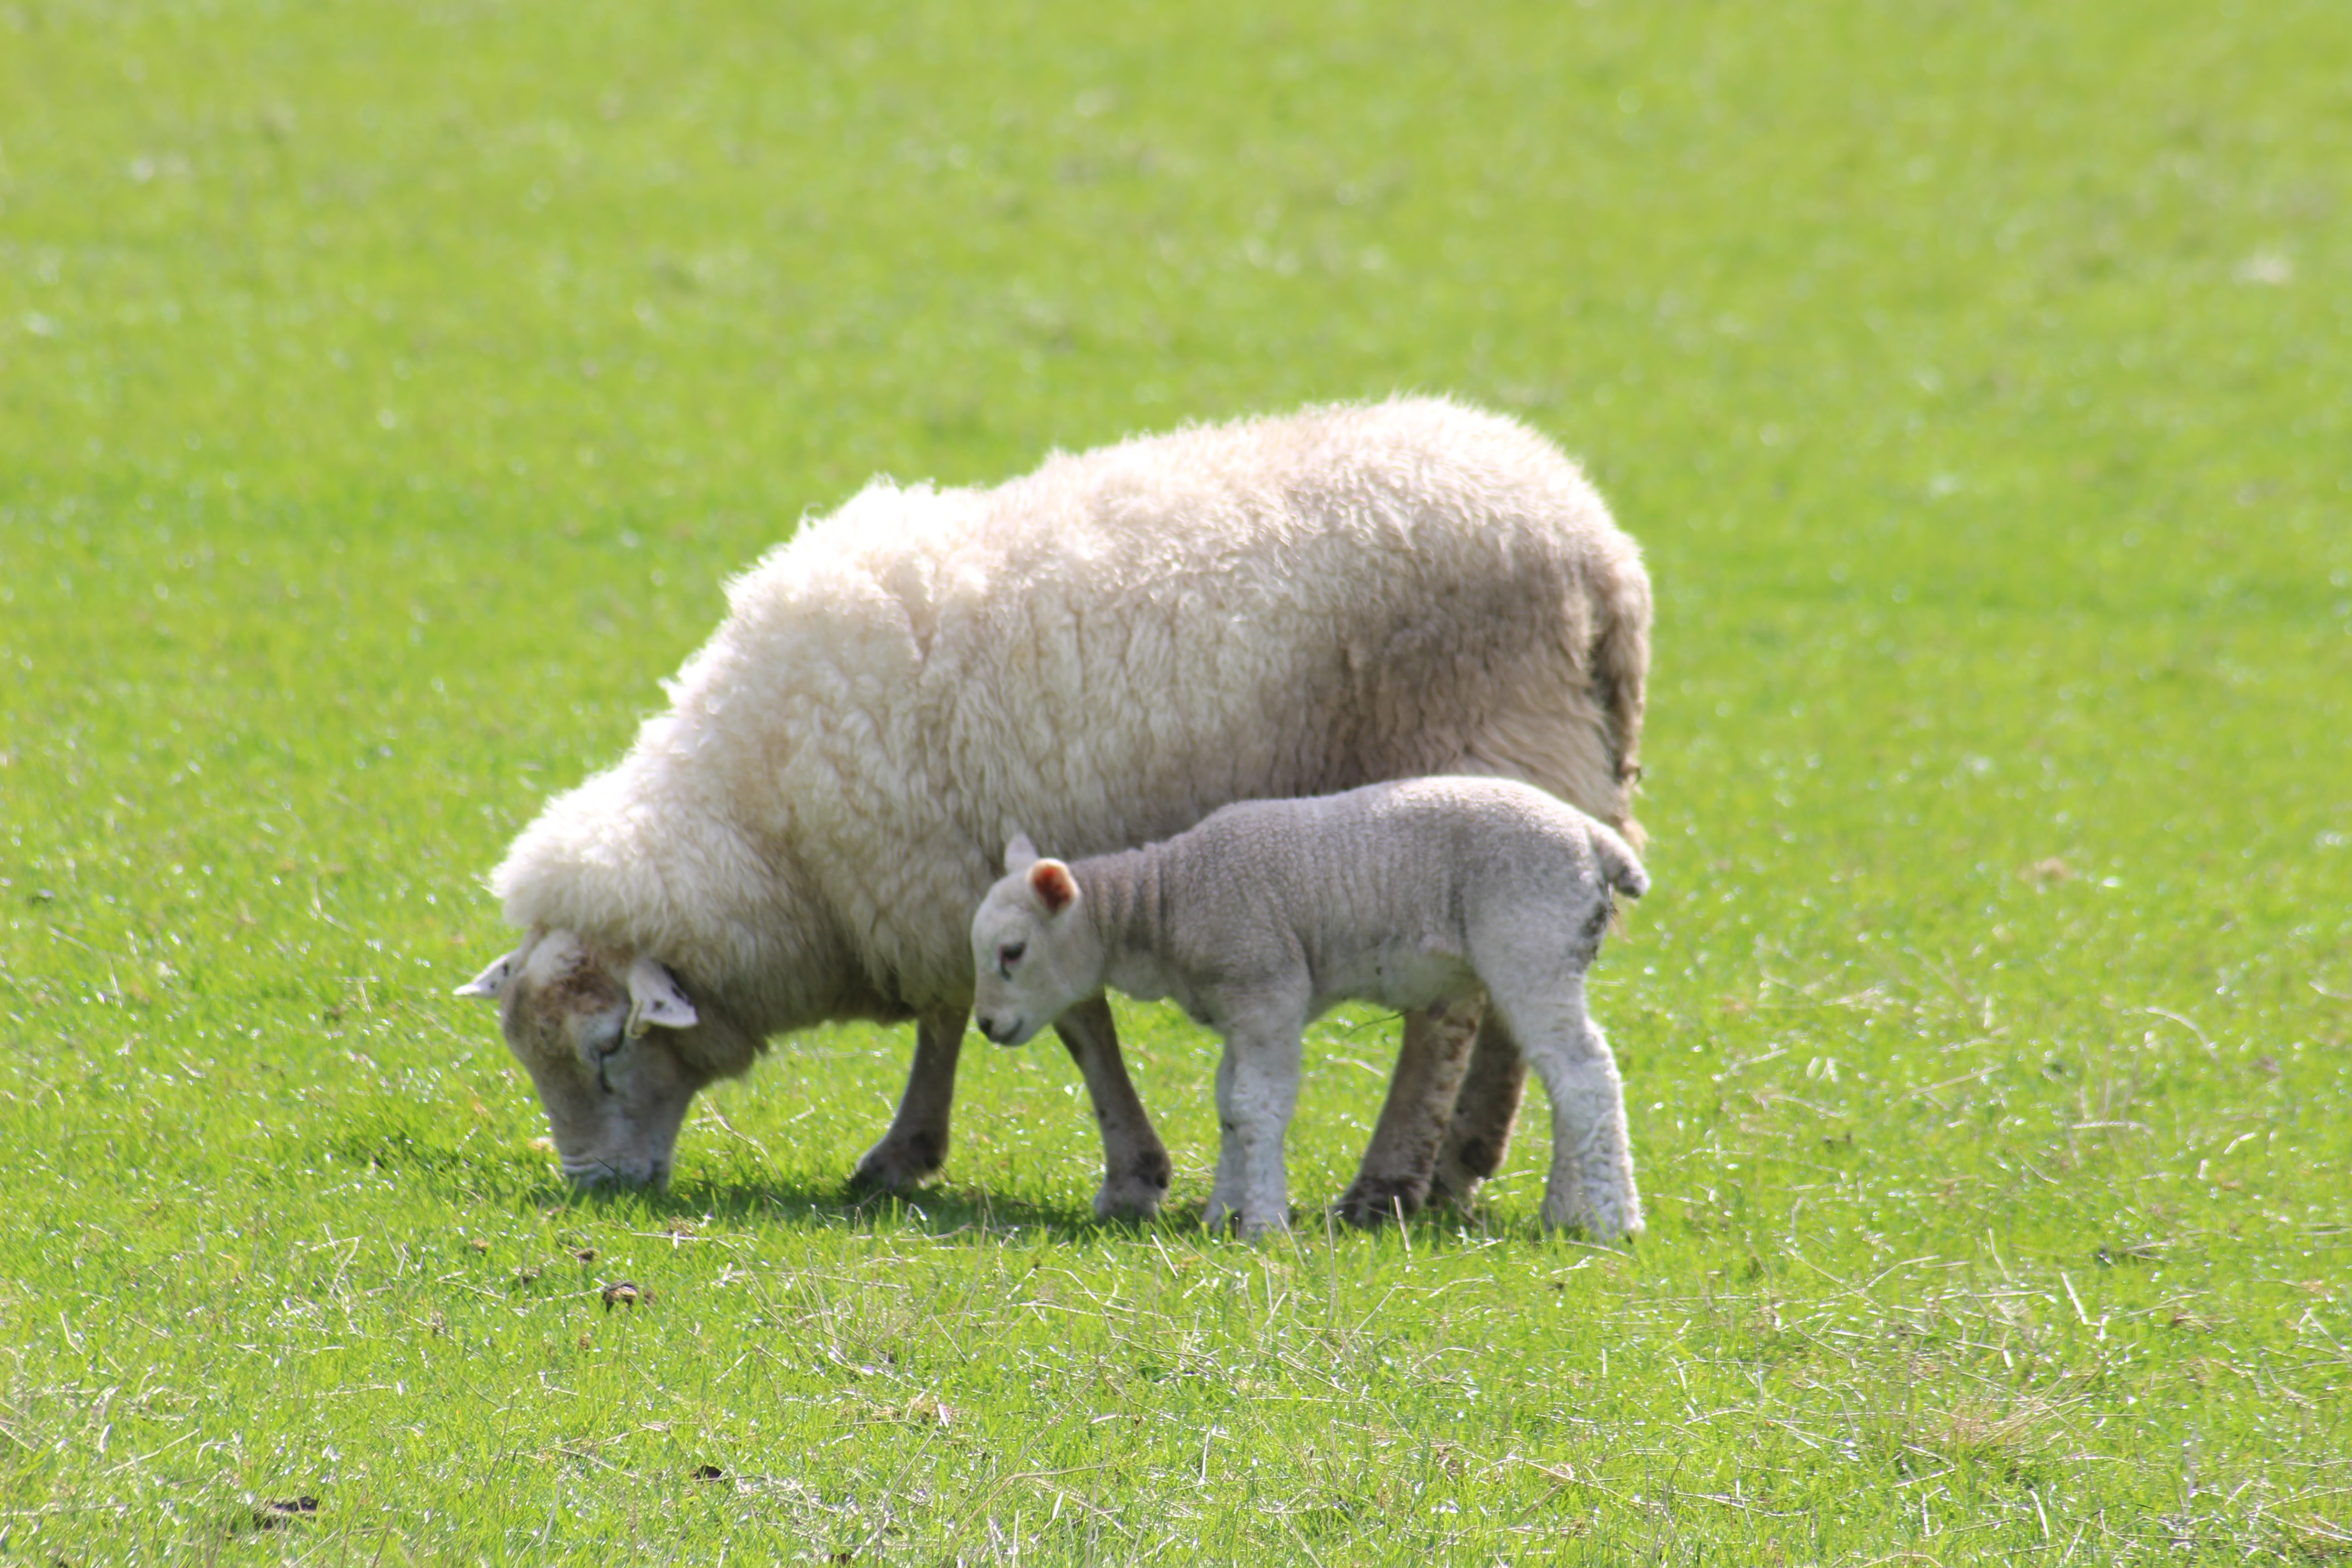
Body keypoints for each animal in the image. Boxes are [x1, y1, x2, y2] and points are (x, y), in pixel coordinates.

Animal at [964, 780, 1646, 1241]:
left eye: (1012, 952)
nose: (988, 1026)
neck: (1166, 899)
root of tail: (1594, 839)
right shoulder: (1237, 1007)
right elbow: (1228, 1106)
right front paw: (1222, 1213)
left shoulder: (1268, 990)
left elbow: (1257, 1106)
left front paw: (1263, 1224)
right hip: (1546, 953)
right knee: (1563, 1075)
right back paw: (1565, 1213)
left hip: (1531, 941)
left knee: (1587, 1073)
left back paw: (1616, 1221)